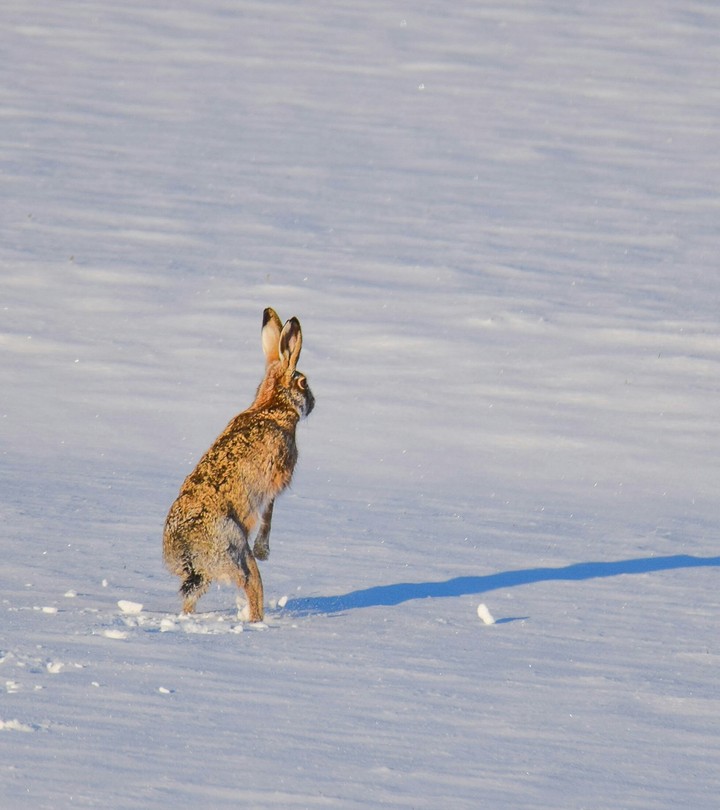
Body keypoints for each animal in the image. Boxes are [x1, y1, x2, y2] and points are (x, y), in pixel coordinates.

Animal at [163, 307, 314, 620]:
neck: (272, 407)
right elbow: (268, 511)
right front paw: (264, 549)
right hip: (237, 552)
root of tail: (185, 547)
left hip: (204, 575)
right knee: (252, 589)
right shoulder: (276, 476)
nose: (314, 401)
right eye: (303, 382)